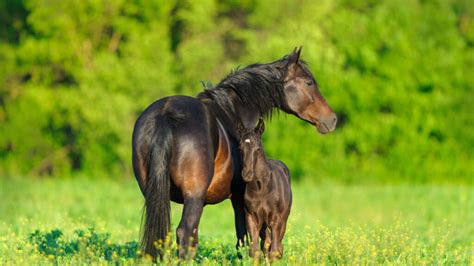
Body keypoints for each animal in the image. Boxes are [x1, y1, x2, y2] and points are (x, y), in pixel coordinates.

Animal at [239, 119, 290, 258]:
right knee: (266, 243)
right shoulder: (251, 218)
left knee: (278, 246)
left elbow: (275, 251)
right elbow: (255, 251)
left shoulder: (276, 220)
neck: (261, 188)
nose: (247, 174)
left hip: (283, 220)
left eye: (257, 149)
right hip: (263, 224)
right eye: (240, 148)